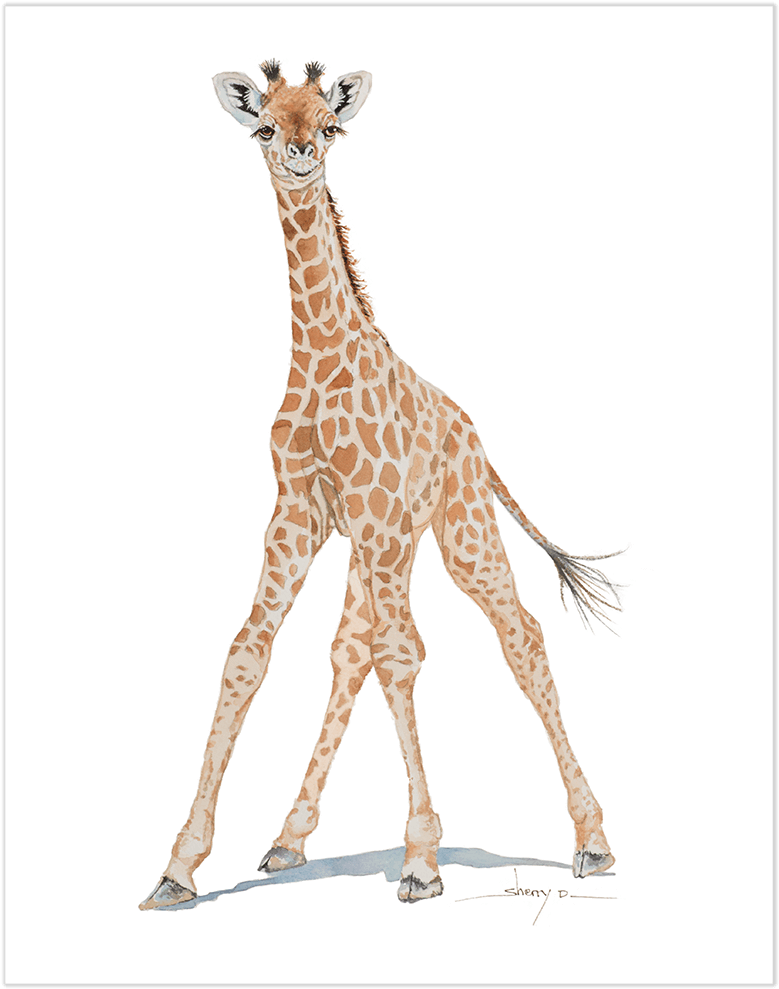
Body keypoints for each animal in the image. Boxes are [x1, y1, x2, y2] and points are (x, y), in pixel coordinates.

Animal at [139, 60, 620, 910]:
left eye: (330, 126)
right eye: (265, 126)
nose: (299, 156)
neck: (319, 358)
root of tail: (472, 433)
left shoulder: (369, 512)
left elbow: (404, 653)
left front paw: (420, 860)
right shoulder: (299, 513)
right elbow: (248, 652)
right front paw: (178, 865)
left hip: (456, 527)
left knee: (517, 636)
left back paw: (592, 842)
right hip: (389, 541)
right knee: (350, 649)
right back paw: (288, 837)